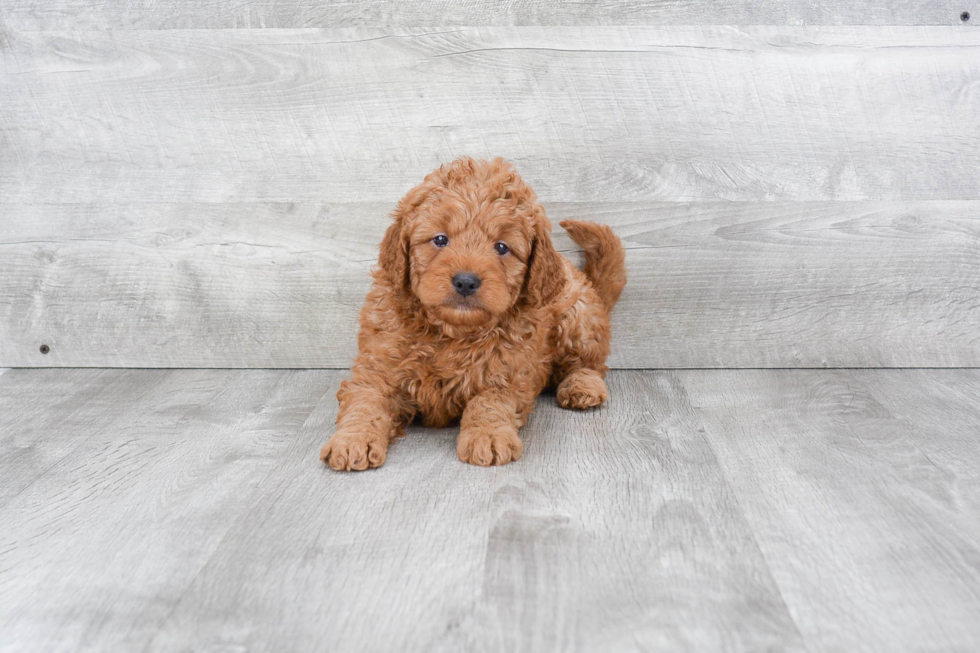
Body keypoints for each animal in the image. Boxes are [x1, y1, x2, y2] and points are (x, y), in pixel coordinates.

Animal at [322, 157, 628, 468]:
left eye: (502, 247)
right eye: (440, 239)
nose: (466, 281)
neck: (452, 332)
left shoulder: (508, 374)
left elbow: (489, 402)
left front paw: (488, 436)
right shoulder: (377, 367)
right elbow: (366, 401)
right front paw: (352, 440)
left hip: (577, 317)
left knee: (589, 363)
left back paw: (582, 387)